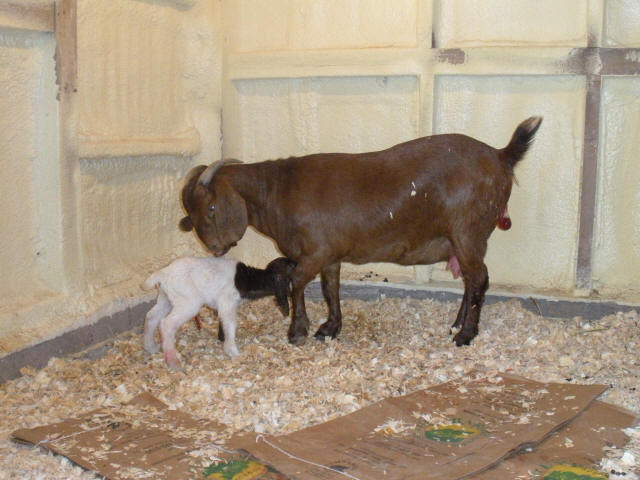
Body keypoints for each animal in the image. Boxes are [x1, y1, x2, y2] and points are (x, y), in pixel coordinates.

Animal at [142, 256, 295, 370]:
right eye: (288, 266)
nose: (296, 262)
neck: (249, 279)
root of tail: (163, 273)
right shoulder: (227, 302)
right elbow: (230, 325)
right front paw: (233, 351)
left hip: (166, 299)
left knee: (151, 316)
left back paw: (150, 347)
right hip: (188, 303)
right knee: (167, 324)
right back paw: (173, 363)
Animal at [179, 117, 542, 347]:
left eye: (211, 209)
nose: (214, 248)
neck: (277, 190)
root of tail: (501, 155)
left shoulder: (314, 252)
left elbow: (296, 285)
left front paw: (298, 331)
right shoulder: (330, 255)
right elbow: (330, 290)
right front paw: (329, 328)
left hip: (468, 231)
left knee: (479, 279)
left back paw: (466, 335)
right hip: (464, 239)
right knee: (470, 280)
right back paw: (456, 325)